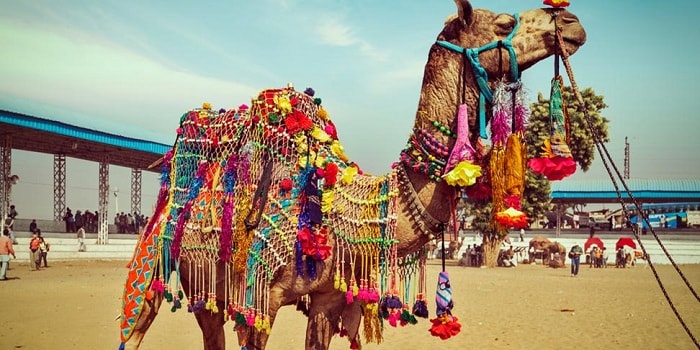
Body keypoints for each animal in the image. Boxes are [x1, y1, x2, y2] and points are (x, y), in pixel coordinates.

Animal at [119, 1, 584, 348]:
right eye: (504, 21)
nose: (571, 22)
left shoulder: (327, 298)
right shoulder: (260, 300)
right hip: (166, 266)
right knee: (140, 323)